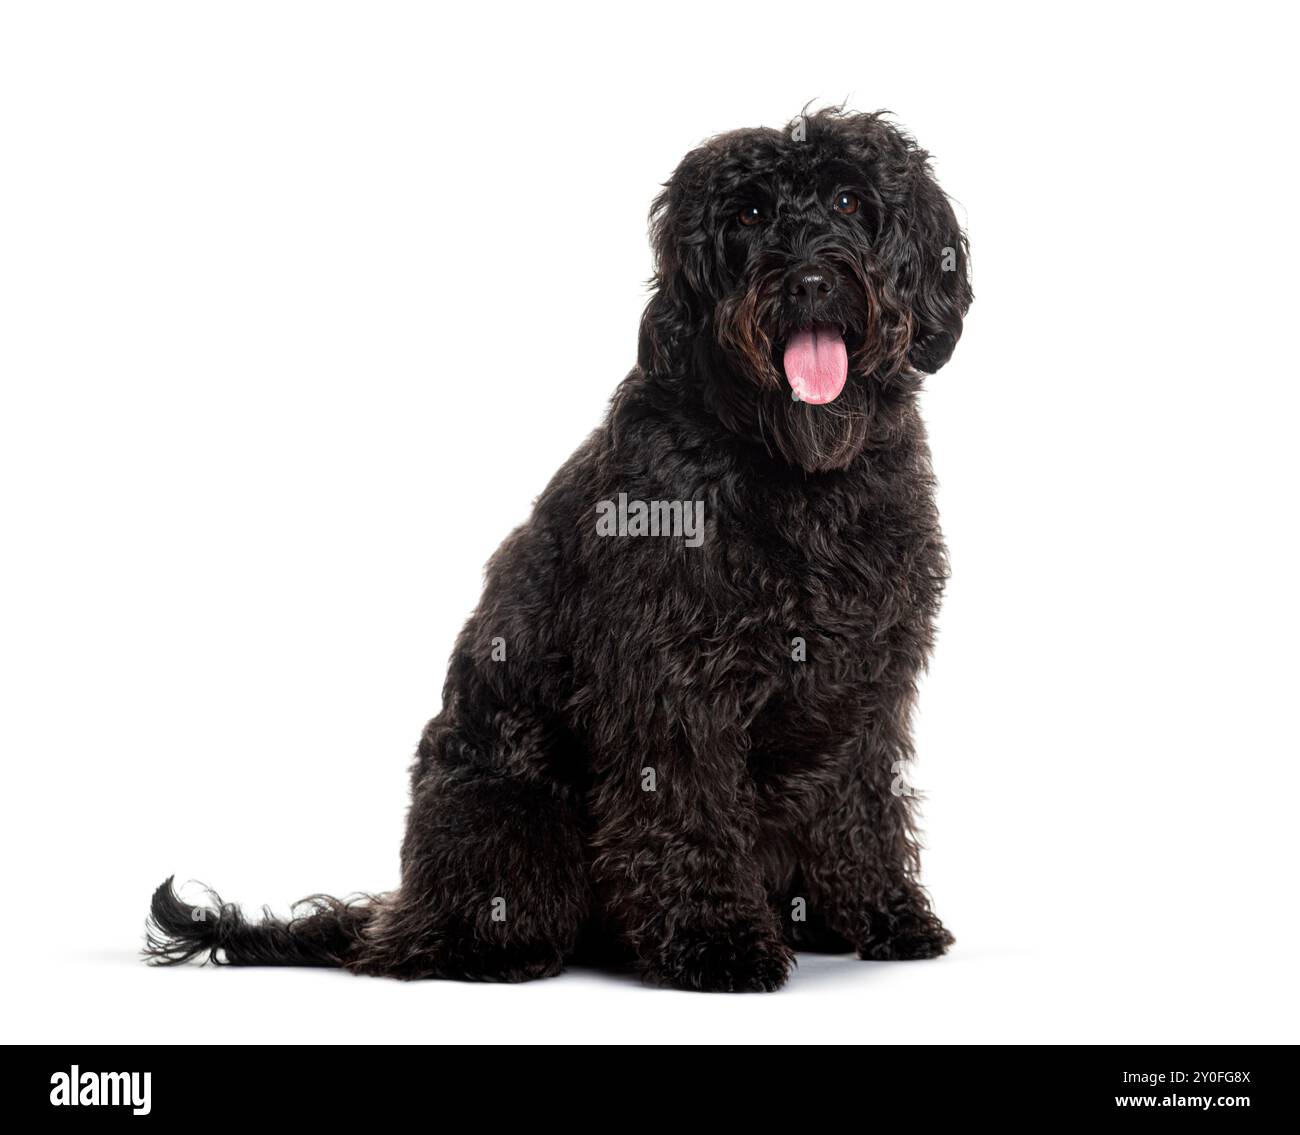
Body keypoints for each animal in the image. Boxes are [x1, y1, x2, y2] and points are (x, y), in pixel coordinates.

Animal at [147, 108, 972, 993]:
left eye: (850, 200)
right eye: (750, 215)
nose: (811, 281)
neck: (797, 475)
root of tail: (402, 910)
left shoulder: (865, 681)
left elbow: (860, 801)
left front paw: (882, 911)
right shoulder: (672, 685)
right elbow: (685, 808)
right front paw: (715, 938)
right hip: (510, 818)